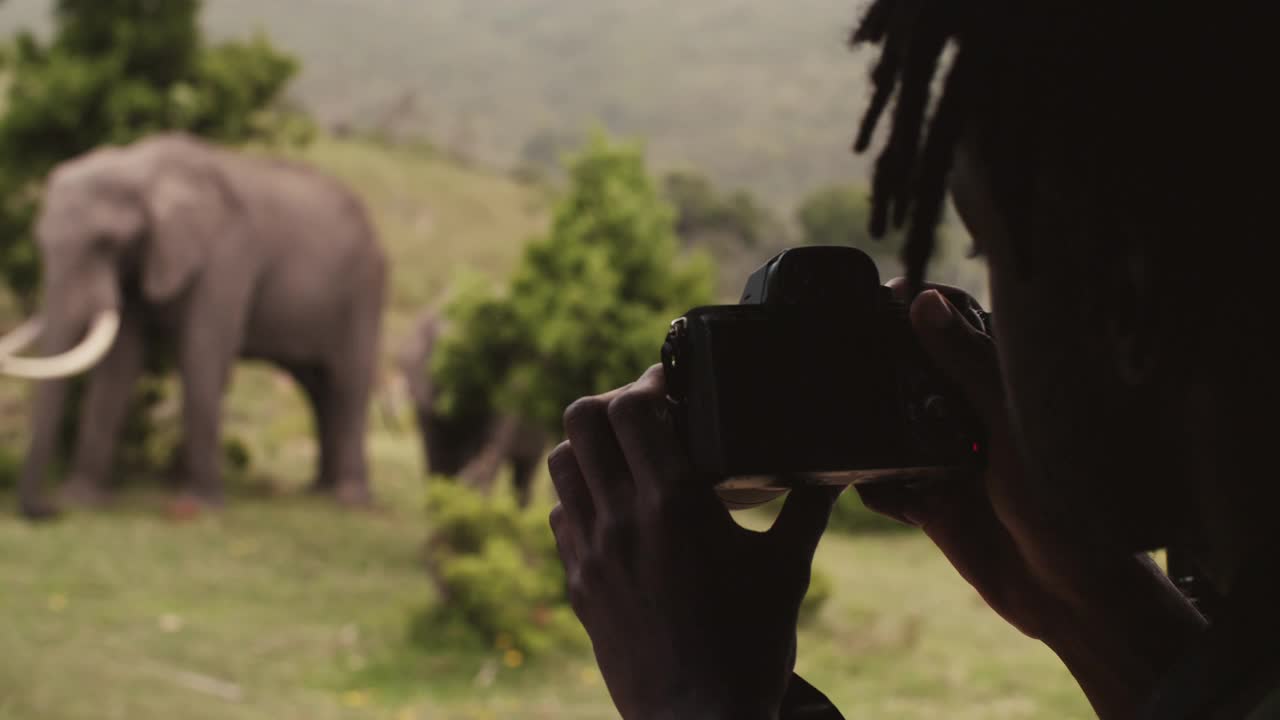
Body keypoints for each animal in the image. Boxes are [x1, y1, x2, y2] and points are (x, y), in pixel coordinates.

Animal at [0, 133, 384, 515]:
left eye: (106, 242)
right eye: (40, 241)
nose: (47, 510)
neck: (142, 167)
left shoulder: (225, 255)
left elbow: (201, 356)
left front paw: (199, 505)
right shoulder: (143, 261)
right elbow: (119, 366)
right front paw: (81, 499)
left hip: (364, 289)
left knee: (348, 382)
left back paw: (349, 499)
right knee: (317, 388)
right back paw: (319, 490)